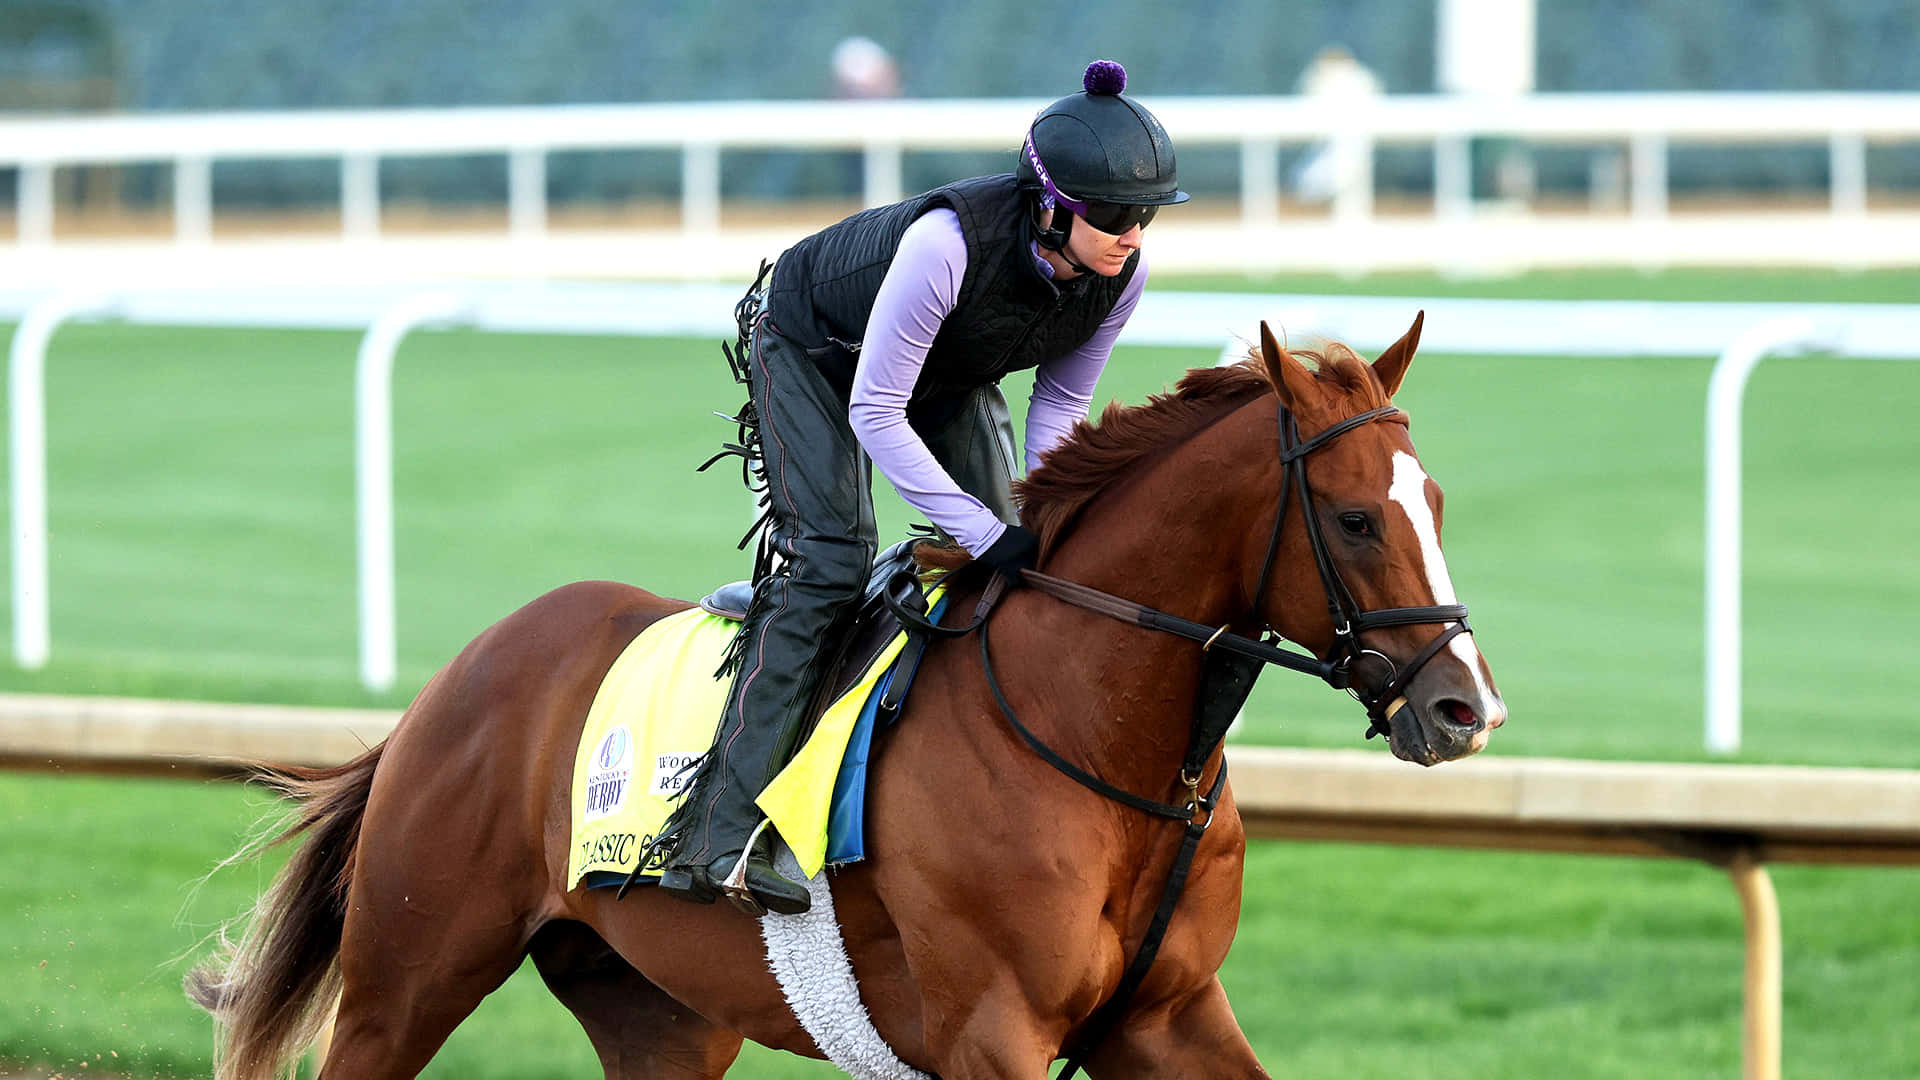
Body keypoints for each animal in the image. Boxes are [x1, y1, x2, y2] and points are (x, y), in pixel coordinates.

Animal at [187, 316, 1506, 1079]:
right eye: (1353, 518)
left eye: (1437, 500)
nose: (1465, 709)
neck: (1099, 743)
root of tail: (455, 681)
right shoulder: (992, 1030)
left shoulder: (1167, 1015)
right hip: (406, 979)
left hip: (660, 1013)